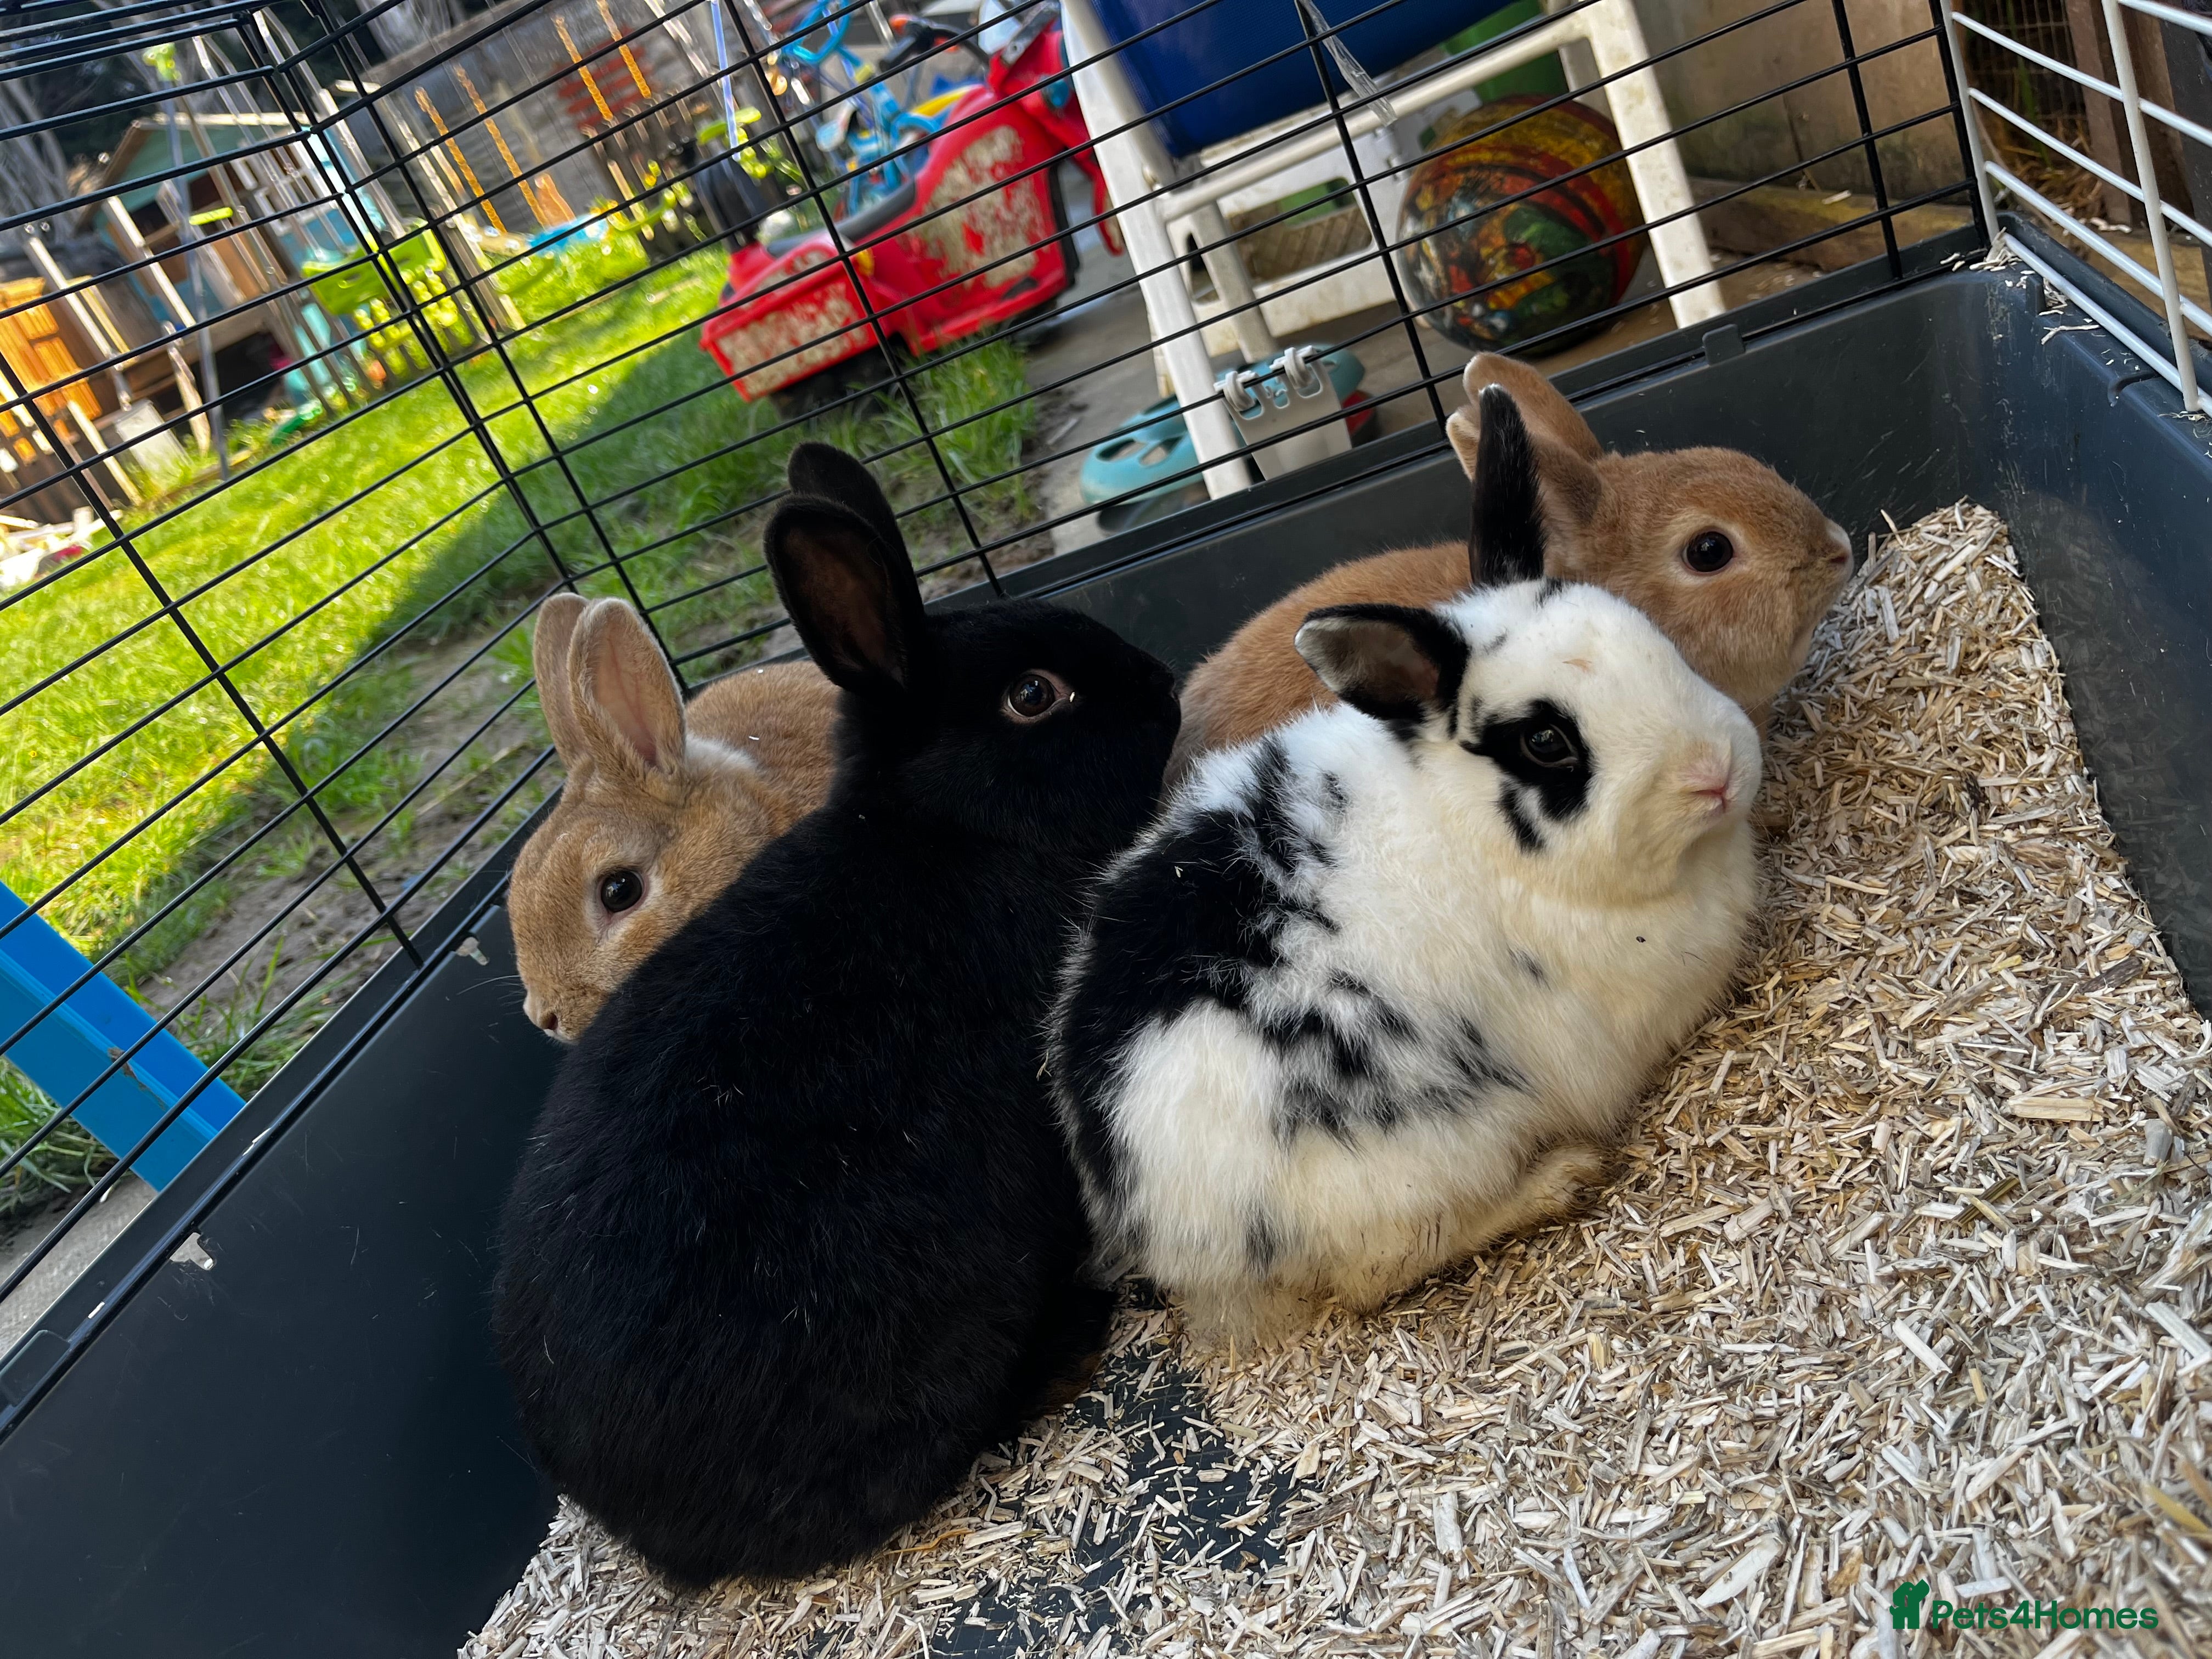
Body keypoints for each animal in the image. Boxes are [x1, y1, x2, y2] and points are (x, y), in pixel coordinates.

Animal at [1049, 386, 1763, 1340]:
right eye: (1546, 743)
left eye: (1651, 639)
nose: (1715, 771)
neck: (1465, 824)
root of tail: (1172, 1235)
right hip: (1439, 1149)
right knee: (1380, 1270)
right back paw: (1558, 1182)